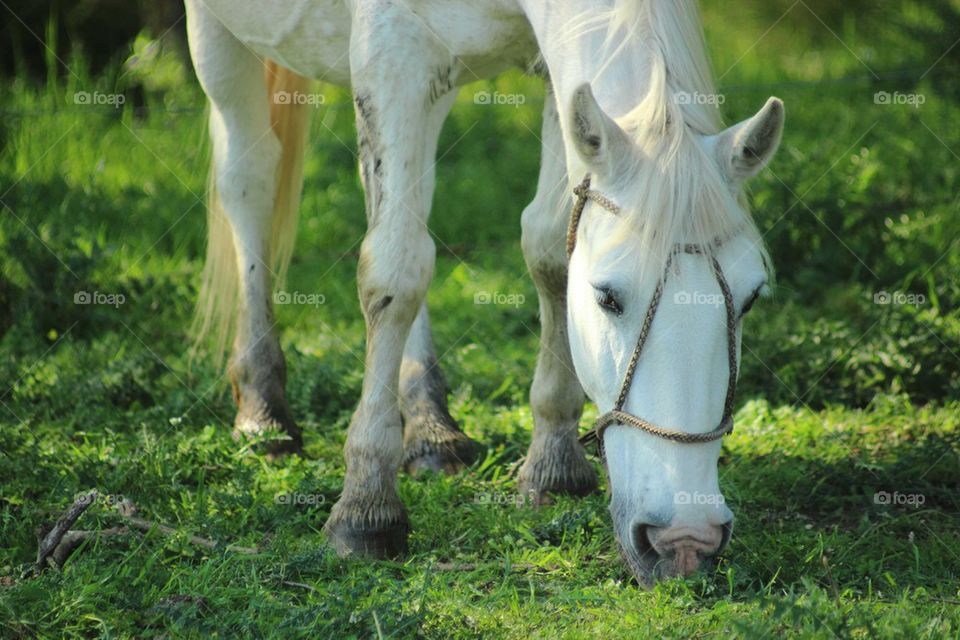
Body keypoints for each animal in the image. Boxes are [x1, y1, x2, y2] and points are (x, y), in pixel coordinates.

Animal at [184, 0, 784, 584]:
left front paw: (553, 462)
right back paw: (263, 407)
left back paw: (428, 425)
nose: (685, 540)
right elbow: (394, 274)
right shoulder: (390, 54)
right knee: (250, 179)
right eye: (607, 297)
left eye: (752, 297)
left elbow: (546, 245)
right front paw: (366, 509)